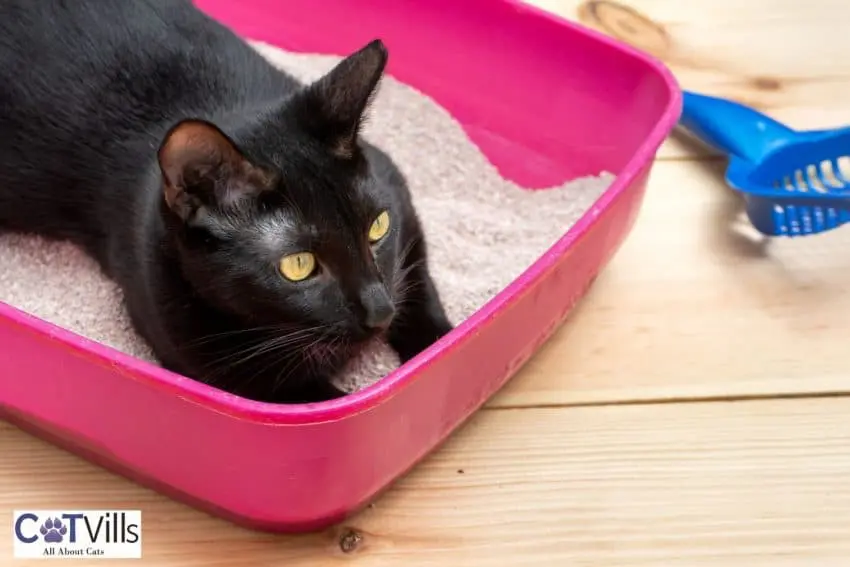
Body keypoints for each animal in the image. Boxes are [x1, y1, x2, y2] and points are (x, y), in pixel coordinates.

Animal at [0, 2, 450, 406]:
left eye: (378, 227)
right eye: (298, 265)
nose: (379, 312)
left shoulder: (403, 216)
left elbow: (422, 305)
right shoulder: (218, 365)